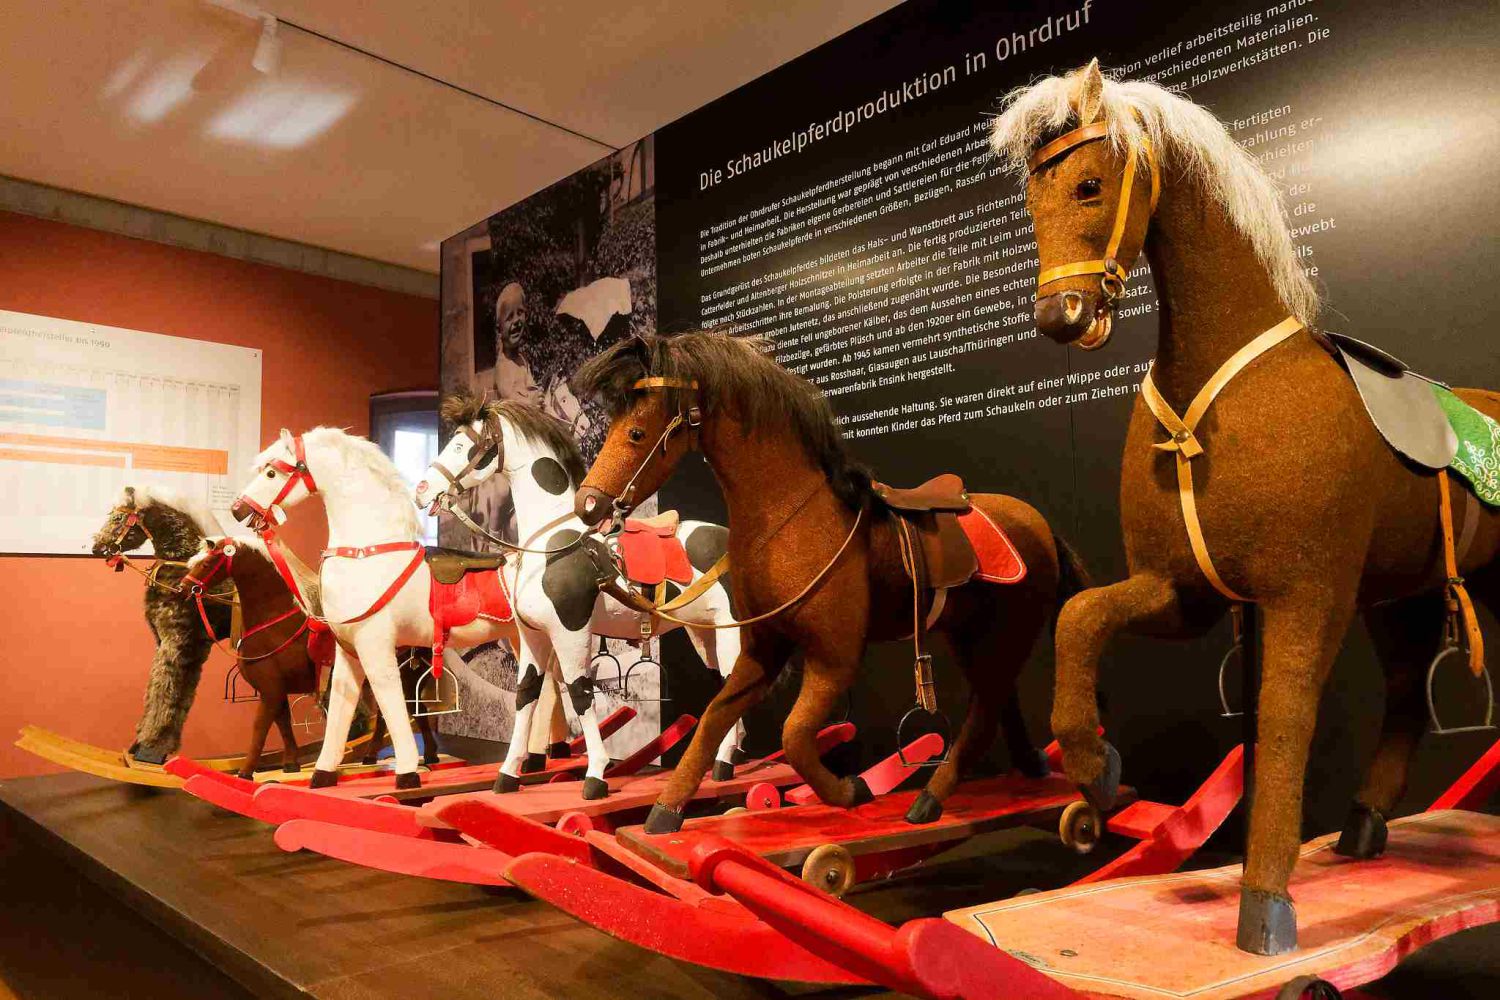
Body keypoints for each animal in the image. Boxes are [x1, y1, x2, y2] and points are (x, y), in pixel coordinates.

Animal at [89, 486, 231, 764]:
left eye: (118, 518)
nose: (96, 547)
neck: (183, 567)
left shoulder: (179, 645)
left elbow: (167, 691)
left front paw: (152, 746)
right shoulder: (169, 644)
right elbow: (168, 691)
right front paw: (146, 743)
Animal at [229, 428, 523, 790]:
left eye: (271, 472)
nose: (237, 509)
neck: (366, 553)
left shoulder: (376, 647)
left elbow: (390, 701)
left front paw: (407, 772)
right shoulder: (347, 652)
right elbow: (340, 707)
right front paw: (322, 774)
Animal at [413, 391, 745, 791]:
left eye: (464, 445)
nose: (421, 491)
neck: (550, 545)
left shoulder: (570, 631)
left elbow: (579, 693)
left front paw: (596, 775)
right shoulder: (533, 635)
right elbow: (526, 694)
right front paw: (508, 774)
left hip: (731, 631)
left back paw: (723, 765)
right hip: (705, 634)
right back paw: (725, 762)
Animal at [571, 331, 1083, 834]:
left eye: (636, 433)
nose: (588, 505)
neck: (792, 517)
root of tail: (1040, 524)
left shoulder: (834, 658)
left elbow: (794, 734)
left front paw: (850, 791)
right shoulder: (765, 647)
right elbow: (715, 716)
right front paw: (666, 811)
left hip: (1010, 633)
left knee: (986, 710)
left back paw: (930, 800)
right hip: (973, 637)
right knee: (999, 700)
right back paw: (1028, 765)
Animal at [992, 61, 1500, 954]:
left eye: (1089, 184)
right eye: (1030, 200)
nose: (1061, 319)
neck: (1220, 387)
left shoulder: (1307, 597)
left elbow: (1285, 725)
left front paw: (1266, 902)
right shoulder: (1183, 593)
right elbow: (1080, 618)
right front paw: (1097, 771)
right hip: (1399, 599)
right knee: (1408, 698)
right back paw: (1363, 828)